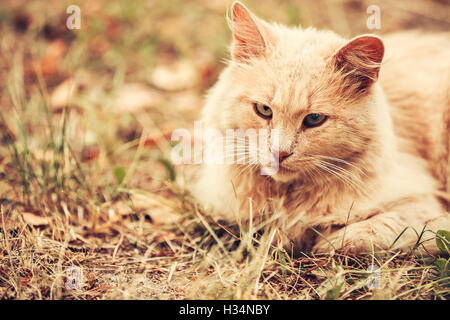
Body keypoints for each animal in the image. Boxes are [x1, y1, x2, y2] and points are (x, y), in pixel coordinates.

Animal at [191, 1, 450, 254]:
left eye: (314, 119)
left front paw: (325, 242)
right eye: (264, 110)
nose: (279, 153)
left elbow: (369, 232)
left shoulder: (422, 207)